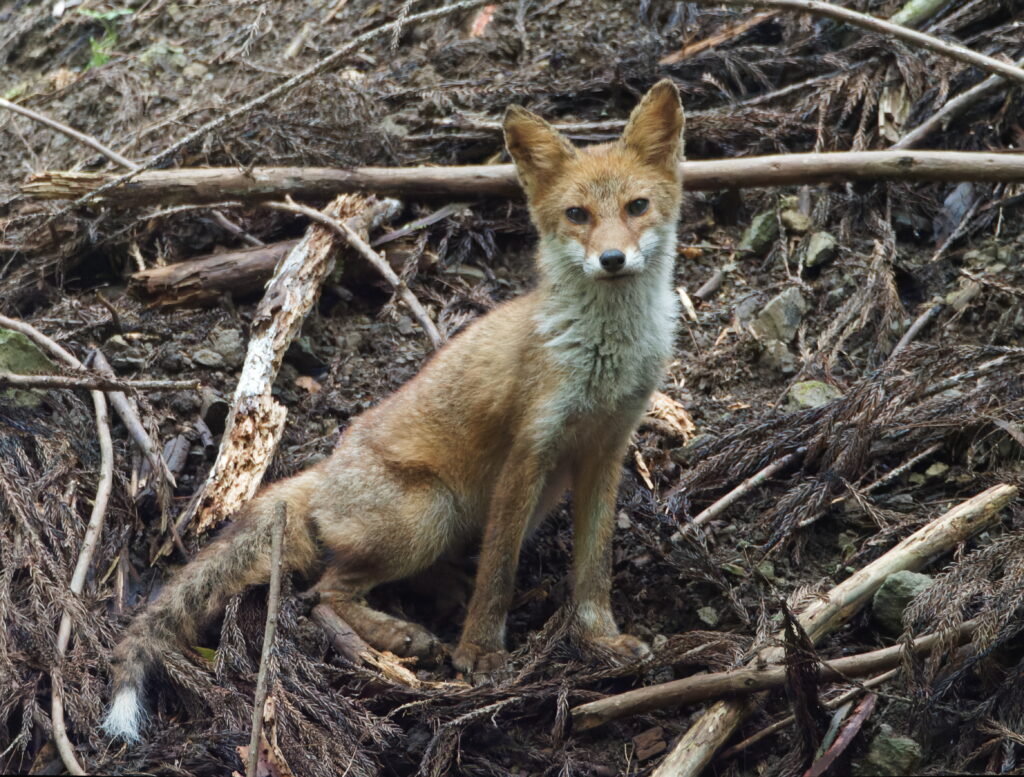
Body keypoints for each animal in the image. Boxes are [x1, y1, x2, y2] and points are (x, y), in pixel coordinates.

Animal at [101, 77, 688, 741]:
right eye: (577, 215)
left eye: (637, 207)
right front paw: (480, 653)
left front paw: (600, 640)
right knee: (324, 593)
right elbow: (499, 574)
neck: (603, 358)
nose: (612, 259)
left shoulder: (604, 452)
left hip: (477, 512)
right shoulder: (528, 452)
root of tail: (322, 473)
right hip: (430, 512)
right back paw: (402, 634)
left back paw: (438, 596)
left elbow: (593, 568)